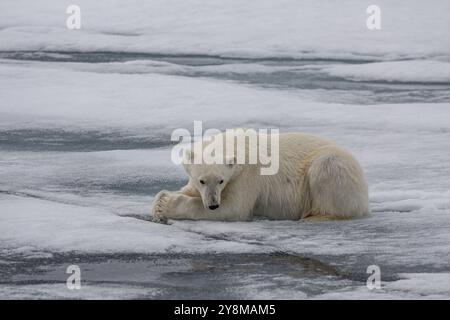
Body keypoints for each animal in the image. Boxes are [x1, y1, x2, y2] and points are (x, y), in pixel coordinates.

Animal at [152, 131, 370, 221]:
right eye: (202, 180)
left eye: (221, 181)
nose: (213, 204)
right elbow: (189, 190)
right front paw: (160, 200)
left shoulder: (248, 176)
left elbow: (234, 208)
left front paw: (165, 205)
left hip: (333, 167)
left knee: (327, 169)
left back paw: (313, 216)